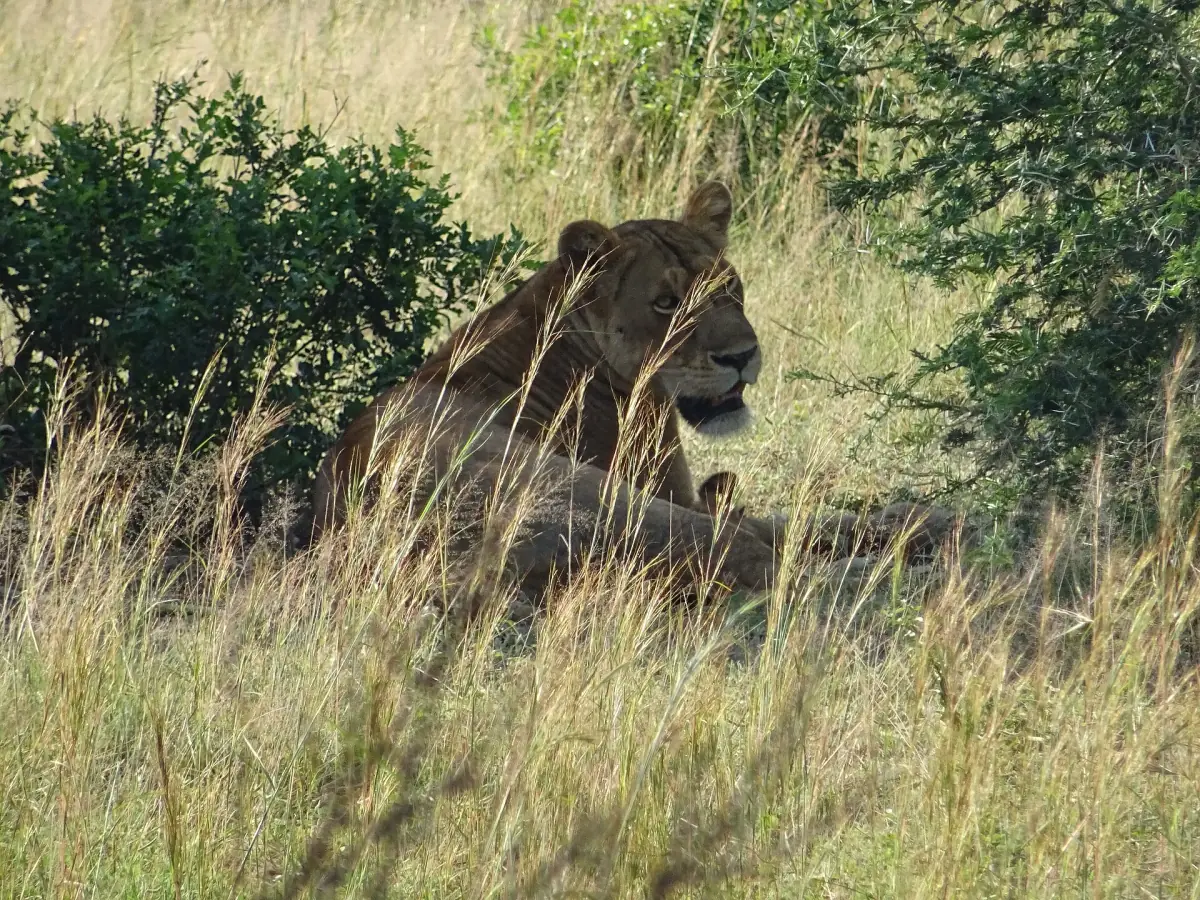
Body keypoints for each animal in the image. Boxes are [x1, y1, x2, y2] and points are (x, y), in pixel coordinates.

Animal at [312, 181, 954, 596]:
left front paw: (920, 518)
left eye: (729, 287)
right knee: (759, 559)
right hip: (586, 490)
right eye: (667, 303)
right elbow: (781, 525)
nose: (742, 357)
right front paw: (916, 527)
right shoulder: (668, 493)